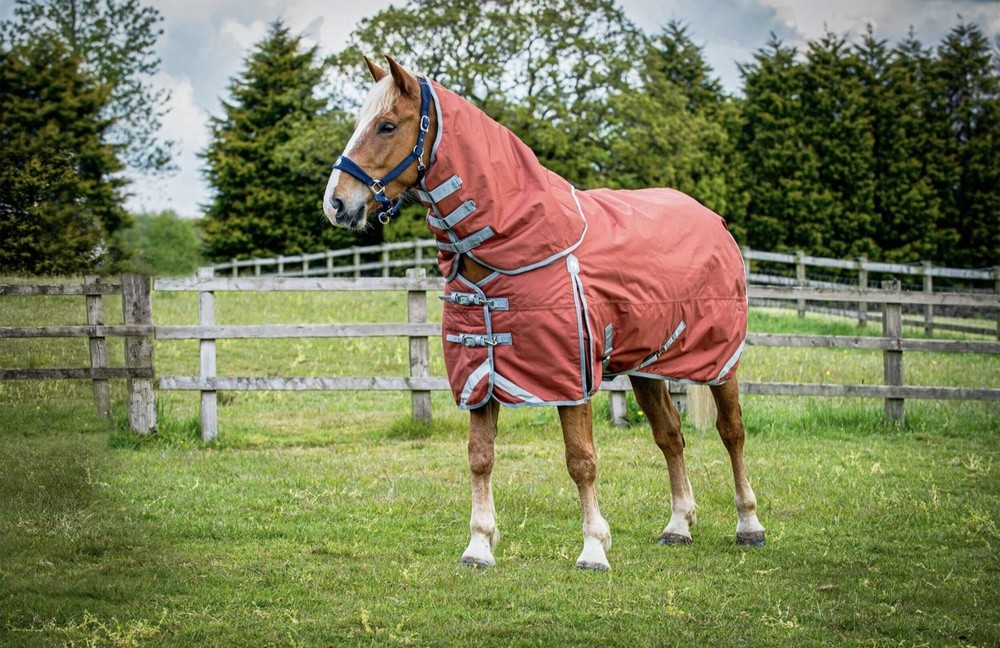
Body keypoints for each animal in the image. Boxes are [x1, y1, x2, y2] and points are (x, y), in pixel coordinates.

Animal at [323, 55, 765, 571]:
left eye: (387, 125)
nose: (337, 202)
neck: (518, 245)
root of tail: (714, 221)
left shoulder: (570, 376)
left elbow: (581, 459)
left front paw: (593, 547)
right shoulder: (482, 374)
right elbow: (479, 455)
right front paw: (479, 545)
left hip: (720, 361)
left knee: (732, 431)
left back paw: (749, 523)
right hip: (645, 365)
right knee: (670, 436)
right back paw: (678, 525)